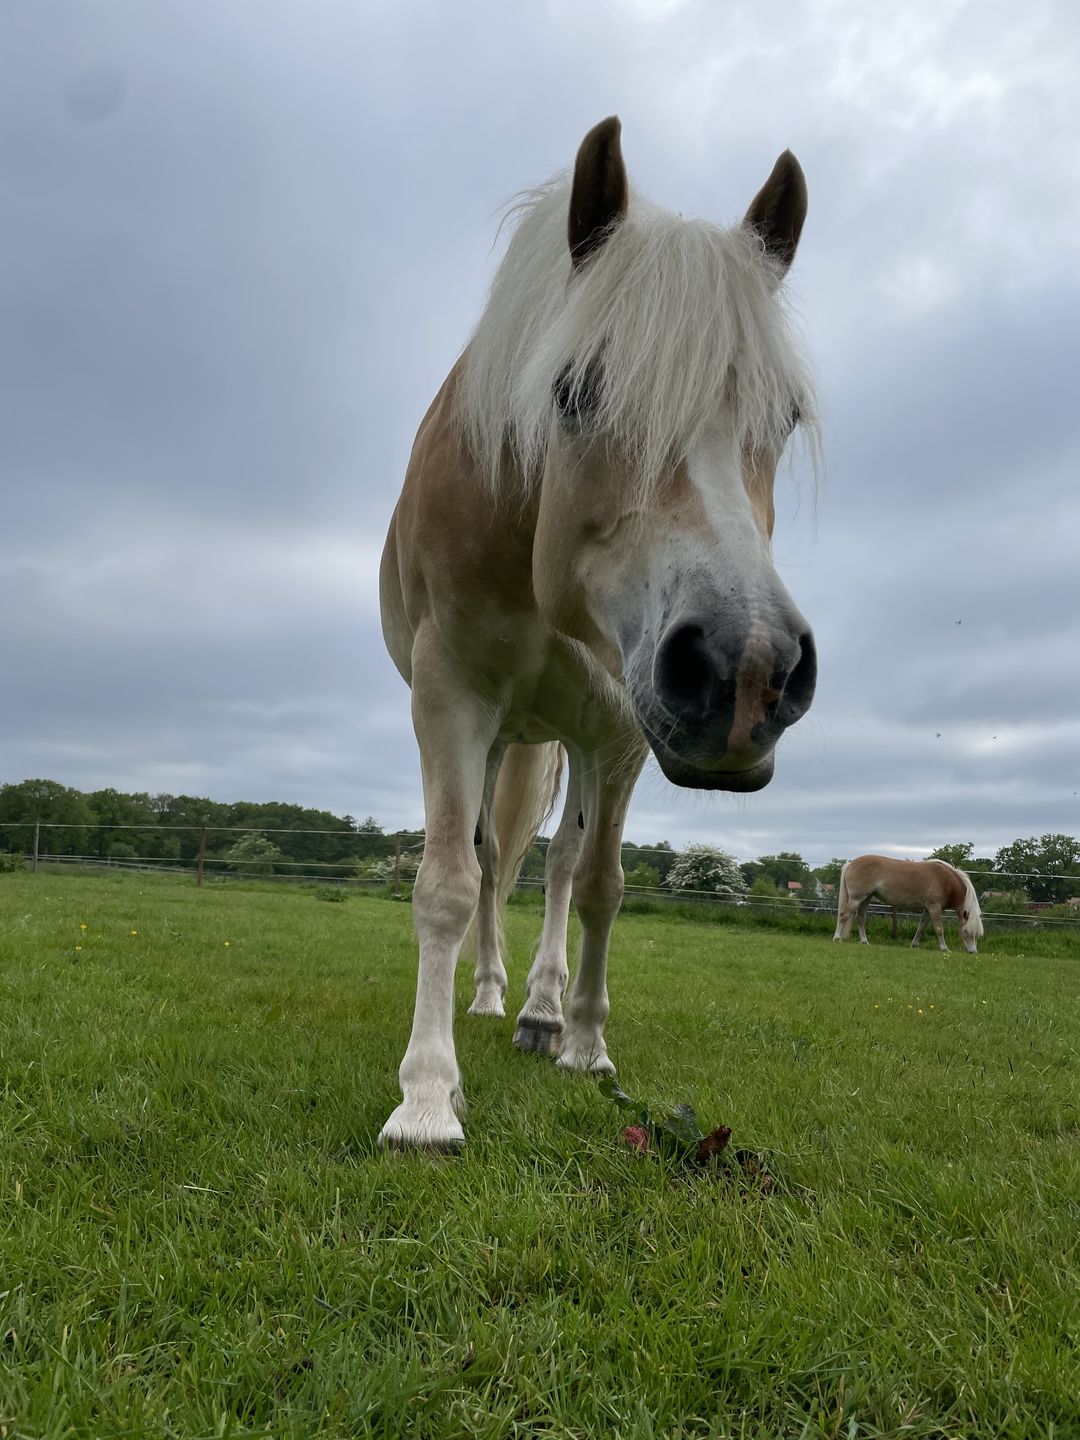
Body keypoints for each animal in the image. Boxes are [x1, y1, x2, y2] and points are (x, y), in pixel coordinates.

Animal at [379, 117, 819, 1148]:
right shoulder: (450, 696)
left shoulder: (622, 729)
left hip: (579, 736)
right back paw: (490, 997)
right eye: (573, 390)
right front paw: (427, 1095)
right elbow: (448, 881)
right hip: (506, 737)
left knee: (560, 865)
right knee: (494, 863)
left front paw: (584, 1041)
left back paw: (540, 1013)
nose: (747, 671)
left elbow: (601, 886)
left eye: (785, 414)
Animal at [832, 855, 984, 953]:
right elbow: (939, 928)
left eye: (977, 935)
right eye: (966, 931)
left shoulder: (928, 909)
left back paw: (864, 941)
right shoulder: (934, 907)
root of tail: (851, 864)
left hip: (866, 898)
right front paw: (944, 948)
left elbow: (921, 927)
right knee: (844, 914)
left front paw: (914, 945)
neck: (946, 880)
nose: (973, 952)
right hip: (856, 899)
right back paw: (837, 938)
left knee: (861, 918)